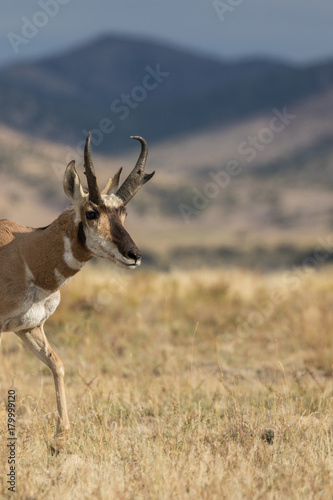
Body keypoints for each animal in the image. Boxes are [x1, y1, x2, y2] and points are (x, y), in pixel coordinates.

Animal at [0, 134, 153, 450]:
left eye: (123, 212)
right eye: (91, 212)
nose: (134, 255)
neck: (23, 252)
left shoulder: (29, 328)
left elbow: (57, 365)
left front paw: (60, 439)